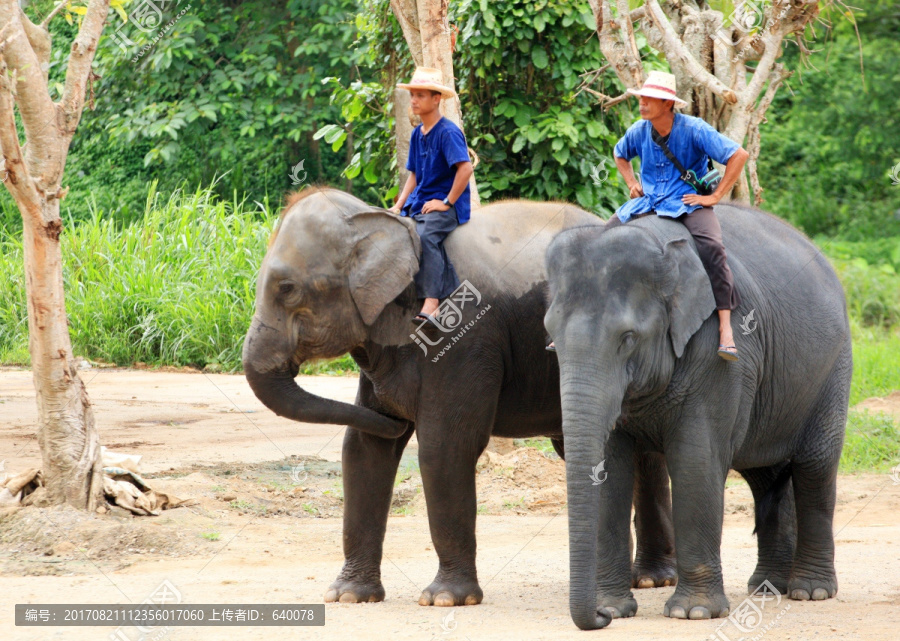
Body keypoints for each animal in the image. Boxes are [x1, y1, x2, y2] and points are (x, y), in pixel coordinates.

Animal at [243, 188, 680, 608]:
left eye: (287, 289)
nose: (399, 418)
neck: (385, 223)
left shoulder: (461, 336)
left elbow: (445, 447)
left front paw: (445, 600)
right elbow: (364, 450)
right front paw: (348, 596)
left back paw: (647, 580)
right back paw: (639, 579)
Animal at [540, 206, 852, 632]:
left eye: (628, 338)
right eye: (551, 337)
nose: (599, 618)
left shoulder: (722, 353)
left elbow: (695, 461)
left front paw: (694, 613)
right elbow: (610, 469)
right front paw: (615, 608)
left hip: (833, 368)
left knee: (815, 467)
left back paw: (810, 590)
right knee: (767, 474)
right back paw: (767, 588)